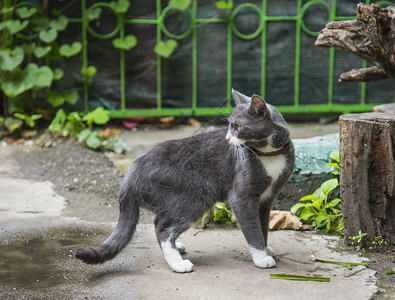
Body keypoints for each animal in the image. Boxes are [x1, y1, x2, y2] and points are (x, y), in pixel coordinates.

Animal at [76, 89, 296, 272]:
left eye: (239, 126)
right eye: (229, 126)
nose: (227, 139)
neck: (269, 154)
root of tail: (132, 171)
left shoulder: (266, 198)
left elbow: (263, 225)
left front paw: (266, 249)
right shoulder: (242, 196)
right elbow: (252, 227)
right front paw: (261, 258)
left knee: (159, 221)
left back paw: (177, 248)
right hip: (196, 195)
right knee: (163, 229)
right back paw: (178, 264)